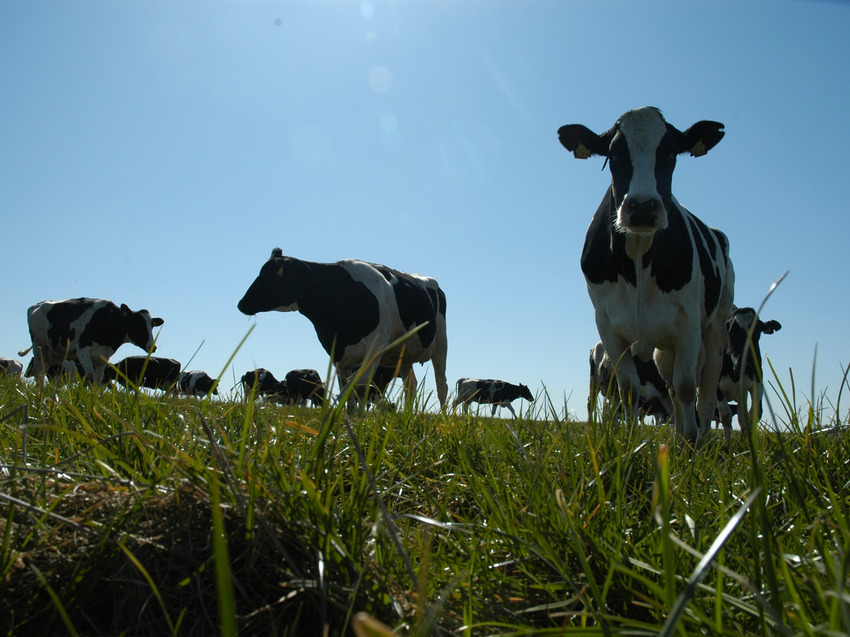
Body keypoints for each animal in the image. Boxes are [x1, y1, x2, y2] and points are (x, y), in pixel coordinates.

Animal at [19, 296, 164, 380]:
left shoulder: (103, 357)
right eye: (138, 324)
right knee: (39, 374)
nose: (153, 347)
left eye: (152, 325)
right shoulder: (82, 351)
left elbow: (97, 379)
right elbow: (89, 376)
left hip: (51, 354)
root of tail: (36, 305)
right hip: (39, 348)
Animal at [237, 248, 448, 408]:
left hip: (441, 345)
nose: (241, 304)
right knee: (410, 388)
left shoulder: (375, 348)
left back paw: (444, 419)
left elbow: (360, 388)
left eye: (269, 275)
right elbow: (348, 393)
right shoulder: (338, 355)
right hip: (403, 355)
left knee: (441, 386)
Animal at [556, 105, 736, 442]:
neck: (637, 260)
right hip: (663, 349)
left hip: (716, 325)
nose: (641, 207)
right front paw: (628, 445)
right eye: (614, 154)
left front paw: (691, 446)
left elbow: (686, 387)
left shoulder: (687, 324)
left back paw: (702, 439)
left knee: (704, 391)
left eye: (670, 153)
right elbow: (629, 390)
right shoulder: (607, 324)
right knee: (670, 388)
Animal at [712, 306, 780, 438]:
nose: (747, 364)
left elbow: (752, 415)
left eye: (757, 333)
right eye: (732, 333)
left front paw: (747, 441)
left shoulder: (756, 382)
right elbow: (726, 417)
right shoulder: (717, 387)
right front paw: (727, 442)